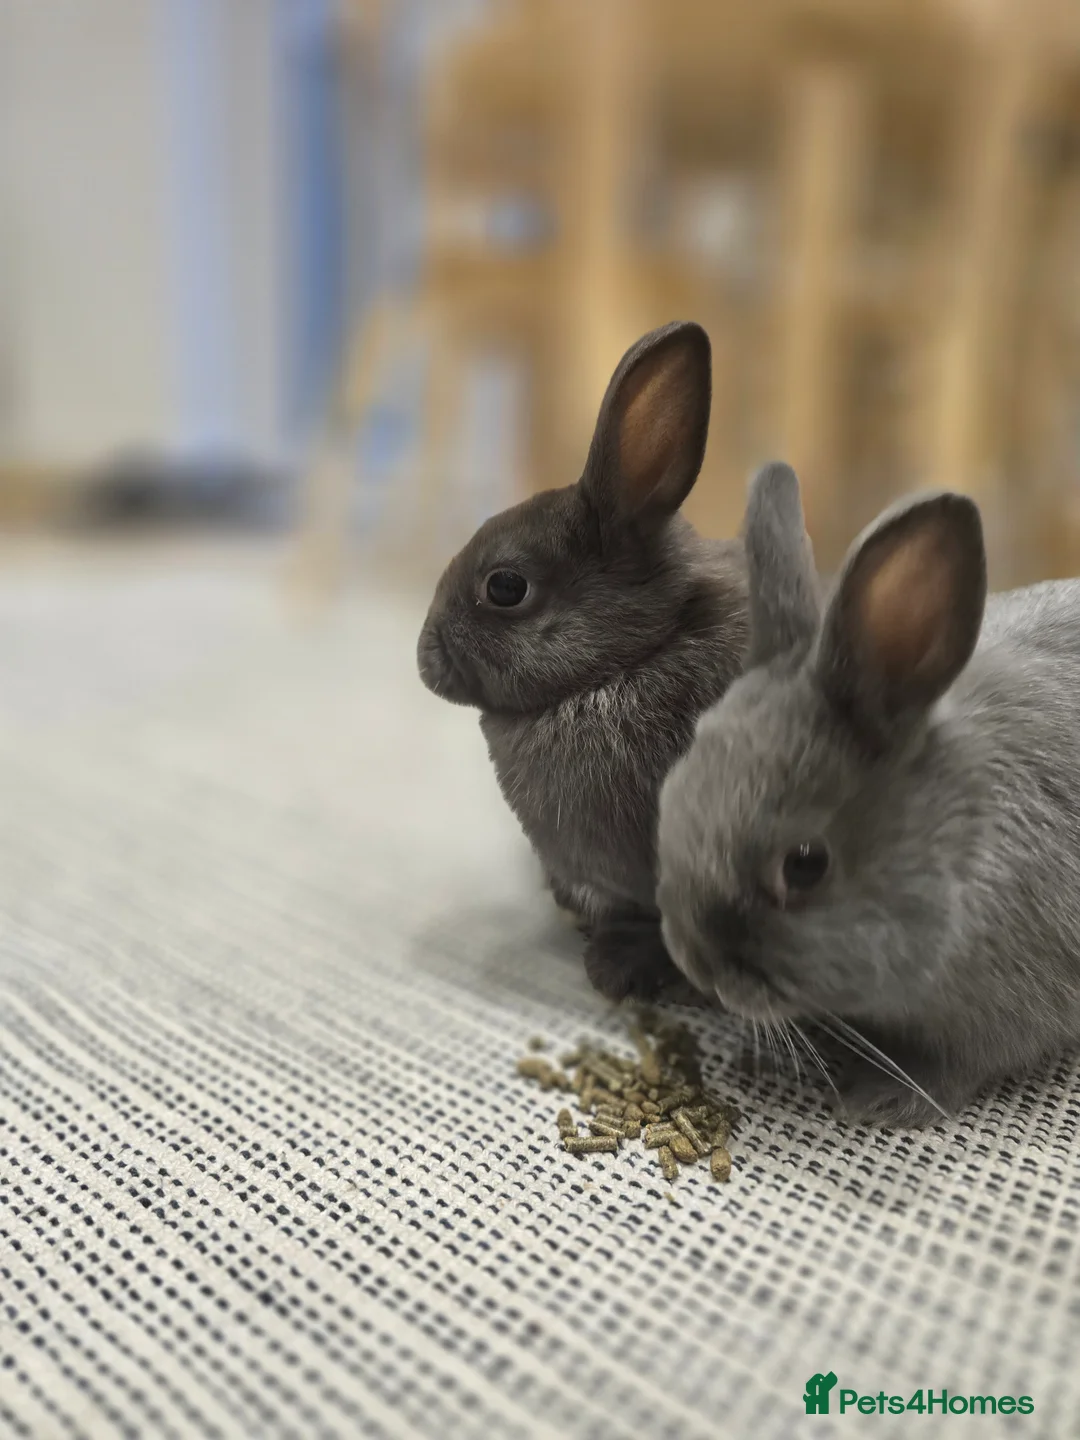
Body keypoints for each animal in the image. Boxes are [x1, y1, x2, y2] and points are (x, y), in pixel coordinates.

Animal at [656, 460, 1080, 1127]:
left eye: (805, 866)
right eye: (672, 790)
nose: (697, 964)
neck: (957, 850)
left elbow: (956, 1069)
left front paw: (881, 1098)